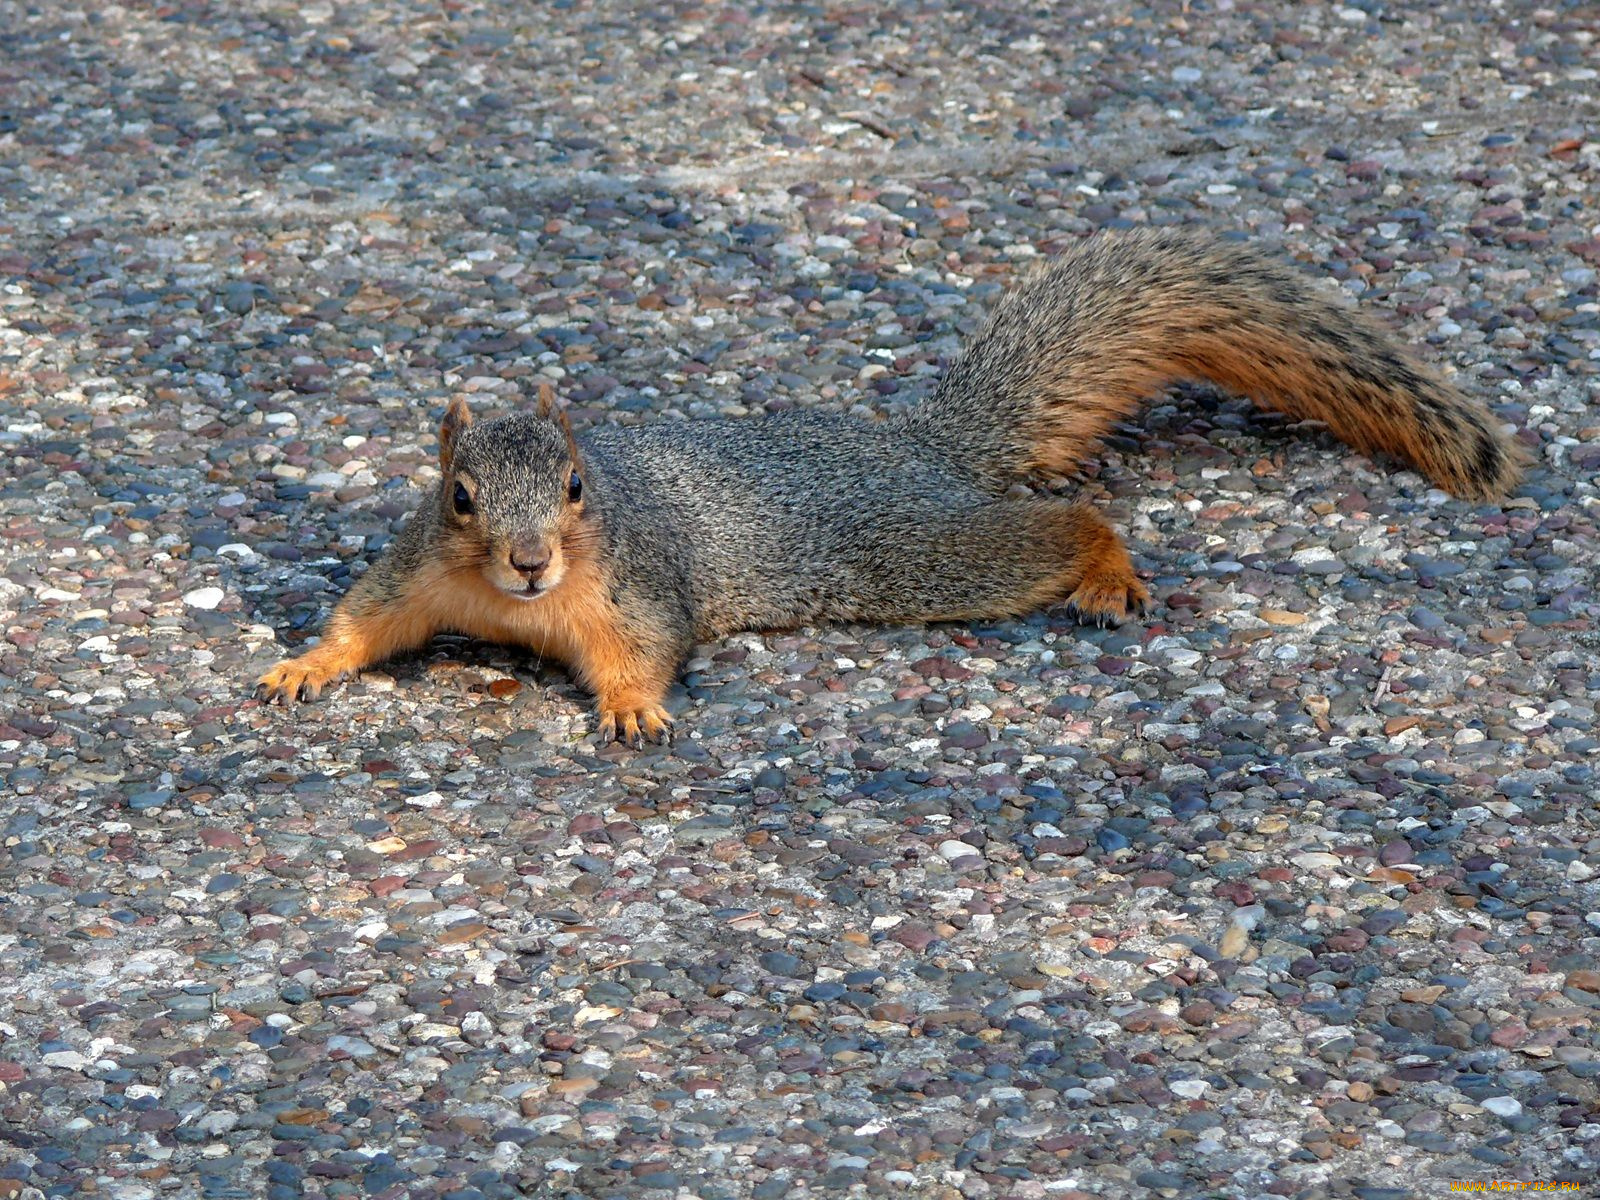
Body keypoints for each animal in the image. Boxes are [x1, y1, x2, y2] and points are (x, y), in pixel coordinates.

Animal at [257, 228, 1525, 745]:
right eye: (459, 497)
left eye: (575, 488)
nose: (527, 565)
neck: (513, 608)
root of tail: (920, 448)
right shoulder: (416, 572)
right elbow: (365, 620)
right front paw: (300, 666)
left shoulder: (636, 588)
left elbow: (643, 650)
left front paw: (632, 709)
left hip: (919, 553)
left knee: (1066, 518)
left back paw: (1106, 573)